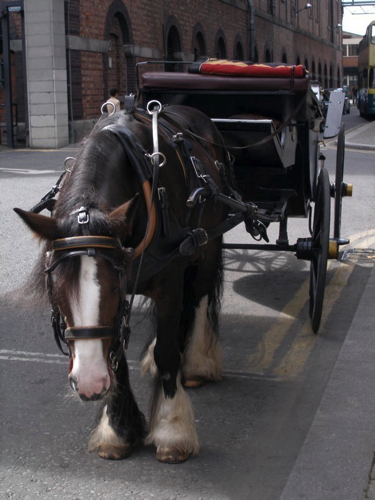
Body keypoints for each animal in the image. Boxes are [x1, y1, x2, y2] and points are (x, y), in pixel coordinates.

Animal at [14, 102, 234, 464]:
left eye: (114, 287)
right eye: (55, 290)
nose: (89, 383)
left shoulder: (169, 278)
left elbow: (168, 353)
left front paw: (172, 430)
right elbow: (118, 355)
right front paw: (117, 429)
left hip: (208, 243)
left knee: (200, 298)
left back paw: (197, 363)